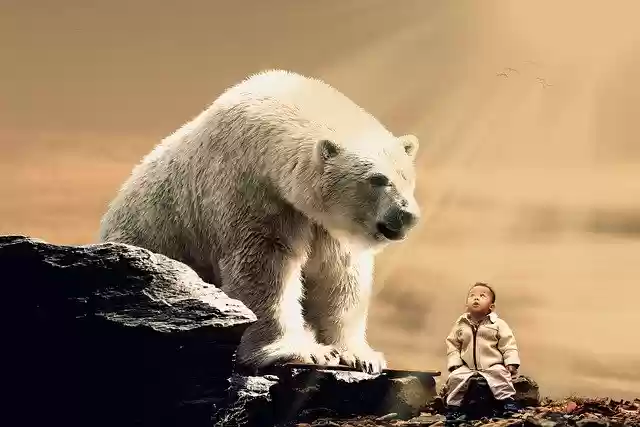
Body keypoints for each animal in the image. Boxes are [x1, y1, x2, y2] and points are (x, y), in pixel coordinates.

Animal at [98, 69, 421, 374]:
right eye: (377, 179)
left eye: (407, 177)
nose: (407, 215)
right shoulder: (251, 191)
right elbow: (265, 269)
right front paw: (303, 351)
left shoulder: (324, 224)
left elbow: (339, 275)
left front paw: (361, 355)